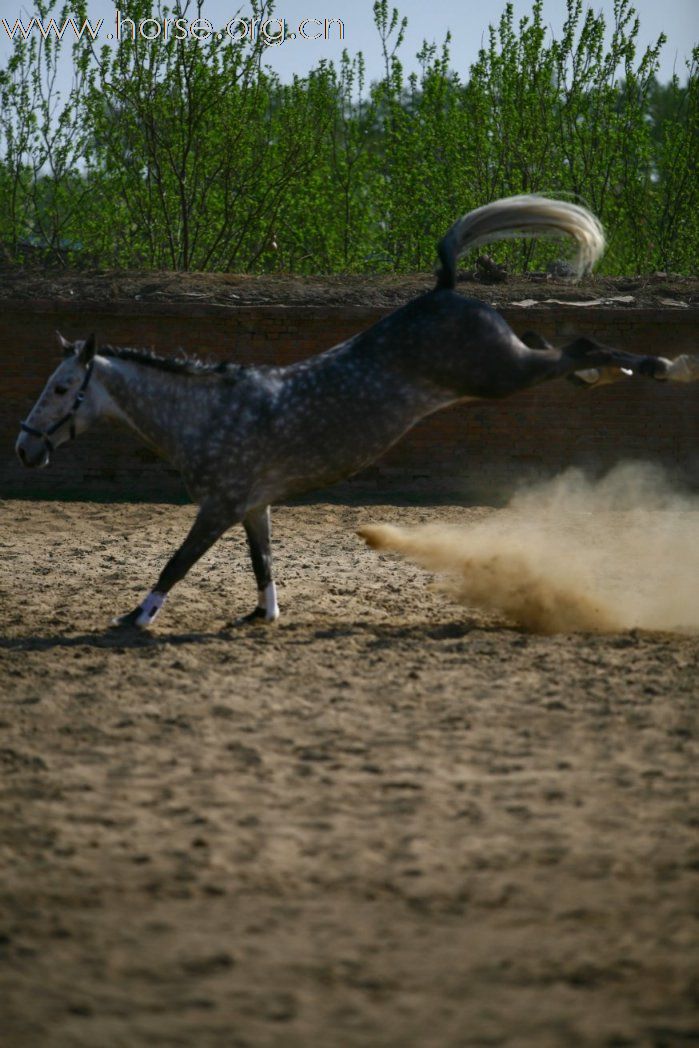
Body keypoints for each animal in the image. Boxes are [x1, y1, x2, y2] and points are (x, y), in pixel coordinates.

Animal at [13, 194, 695, 628]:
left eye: (61, 388)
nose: (25, 447)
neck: (208, 414)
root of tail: (446, 289)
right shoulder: (253, 507)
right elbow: (262, 564)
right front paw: (264, 616)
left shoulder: (220, 508)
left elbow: (176, 563)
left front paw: (136, 617)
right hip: (507, 366)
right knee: (561, 350)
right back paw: (618, 373)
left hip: (500, 376)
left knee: (578, 348)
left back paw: (662, 366)